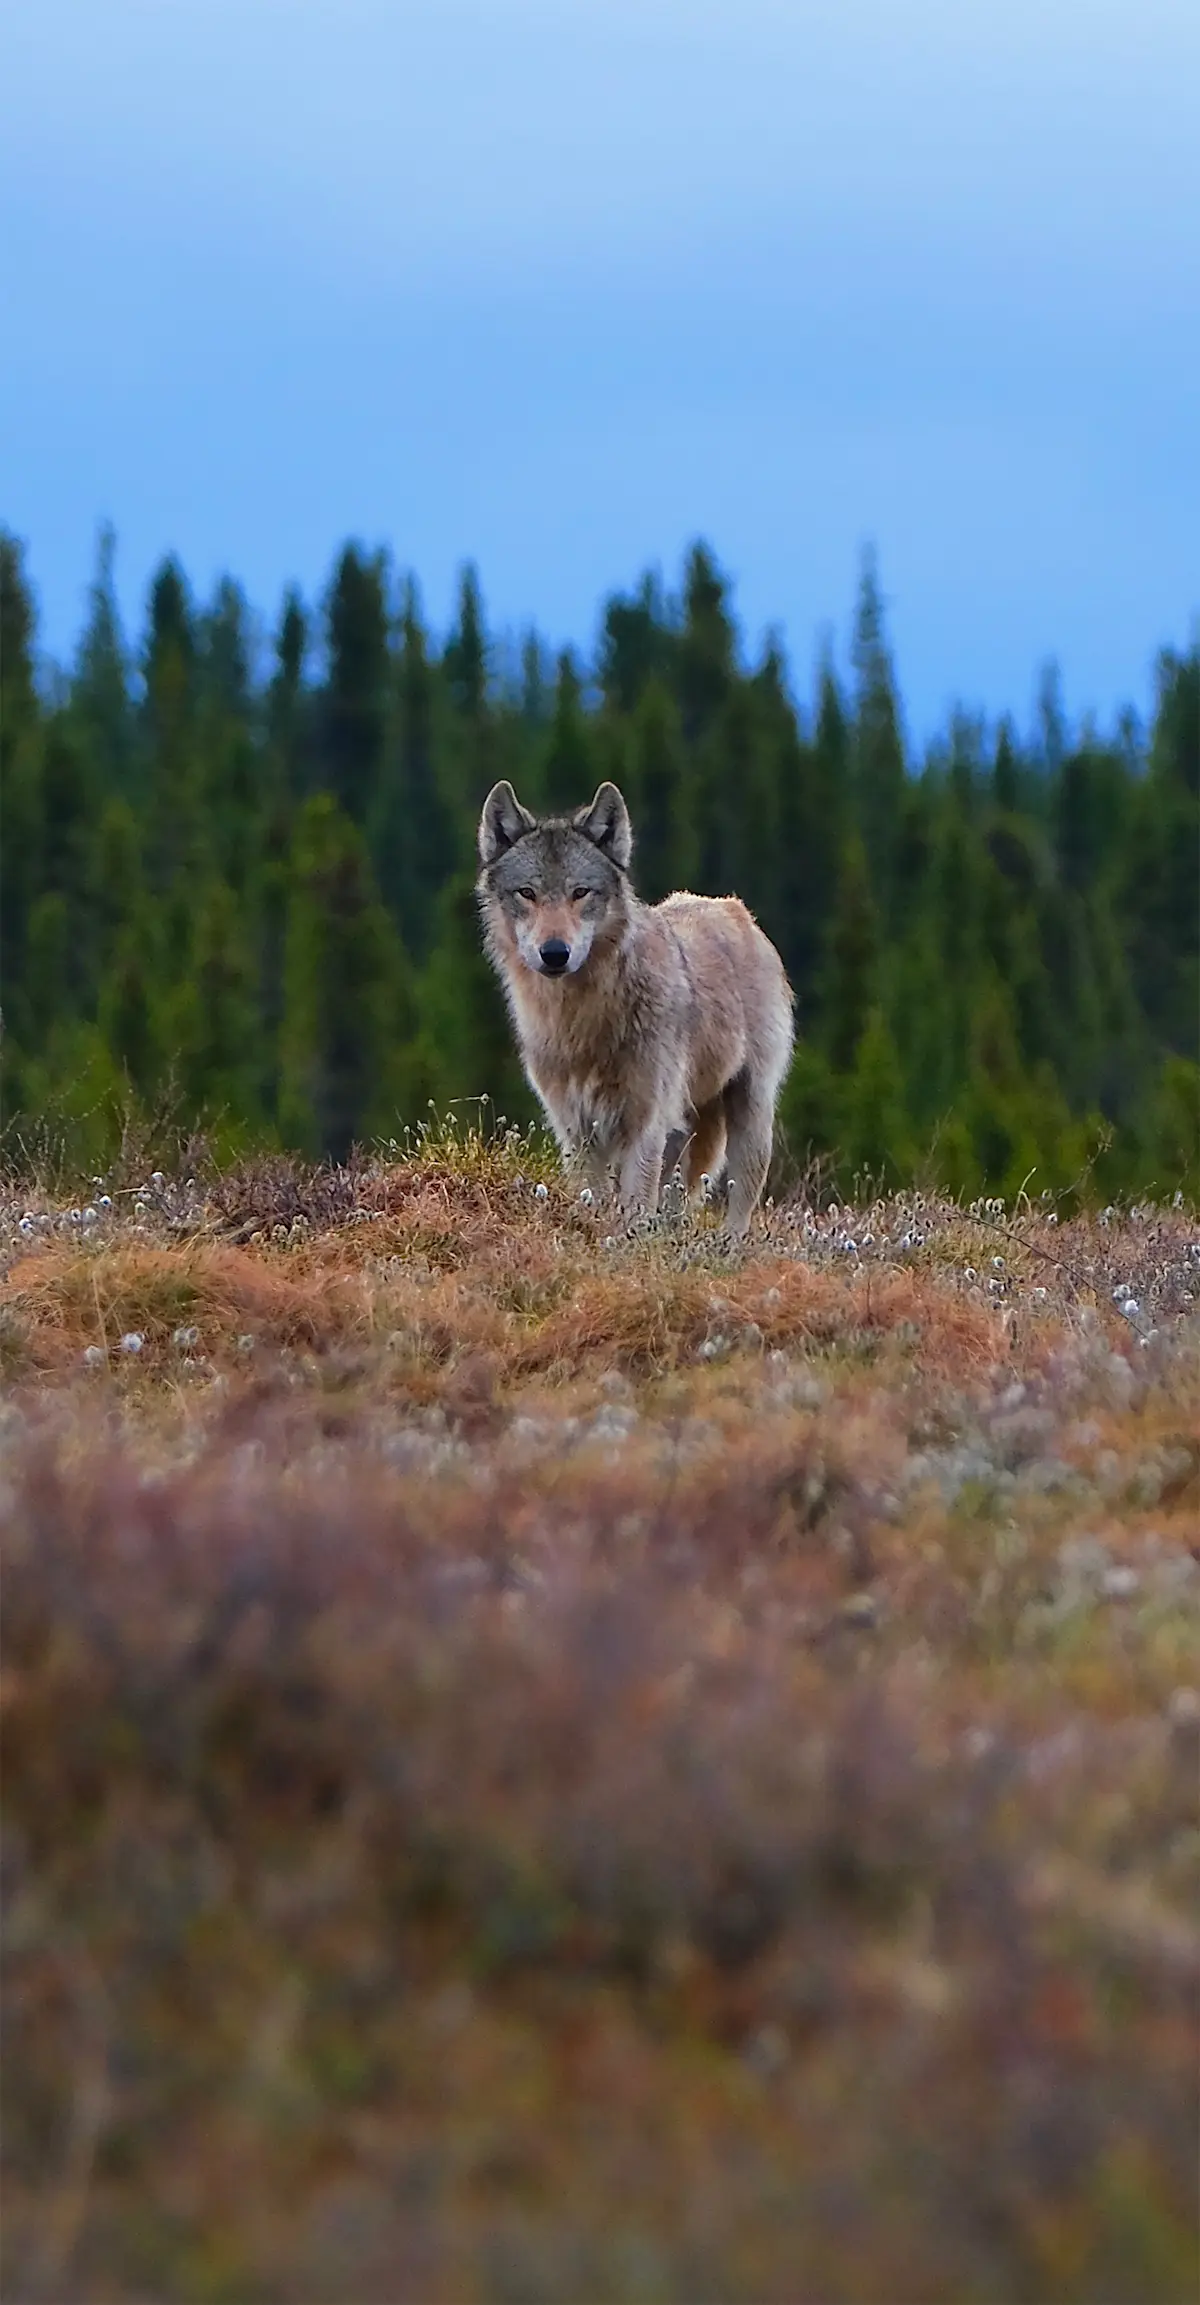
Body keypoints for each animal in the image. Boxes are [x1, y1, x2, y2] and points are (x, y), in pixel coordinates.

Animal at [477, 780, 794, 1234]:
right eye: (527, 894)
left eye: (580, 893)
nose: (554, 953)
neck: (580, 1022)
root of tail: (732, 907)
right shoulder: (575, 1128)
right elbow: (592, 1198)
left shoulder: (644, 1124)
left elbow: (635, 1204)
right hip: (684, 1127)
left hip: (748, 1112)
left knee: (739, 1198)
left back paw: (728, 1244)